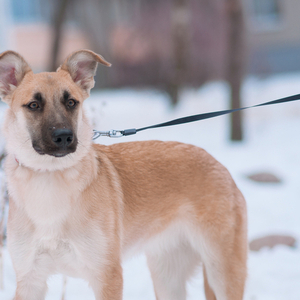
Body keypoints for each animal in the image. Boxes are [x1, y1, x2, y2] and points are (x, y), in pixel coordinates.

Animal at [0, 50, 247, 298]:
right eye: (33, 105)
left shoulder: (107, 276)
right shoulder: (30, 280)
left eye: (71, 103)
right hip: (168, 278)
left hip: (222, 272)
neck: (49, 174)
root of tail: (218, 165)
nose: (64, 136)